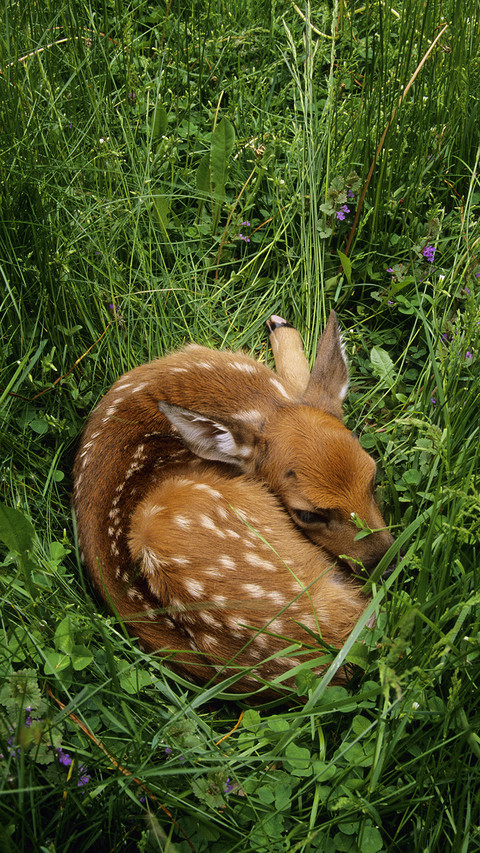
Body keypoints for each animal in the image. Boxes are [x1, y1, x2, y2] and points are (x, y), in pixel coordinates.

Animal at [73, 311, 394, 697]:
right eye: (306, 513)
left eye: (374, 475)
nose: (386, 563)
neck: (248, 395)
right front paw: (281, 330)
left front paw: (281, 327)